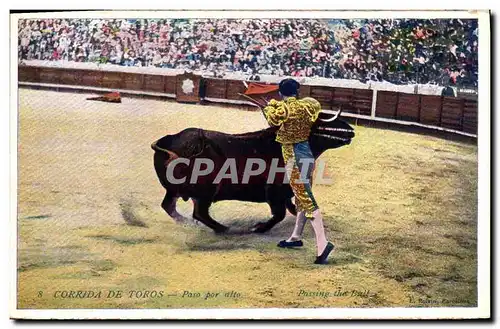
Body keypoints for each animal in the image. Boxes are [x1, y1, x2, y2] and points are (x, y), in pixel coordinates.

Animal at [150, 113, 354, 233]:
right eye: (322, 125)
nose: (351, 130)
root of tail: (170, 140)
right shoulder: (274, 192)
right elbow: (279, 214)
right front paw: (259, 228)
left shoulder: (287, 192)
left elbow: (292, 208)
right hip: (206, 192)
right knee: (199, 213)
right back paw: (223, 229)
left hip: (176, 191)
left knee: (169, 206)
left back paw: (188, 223)